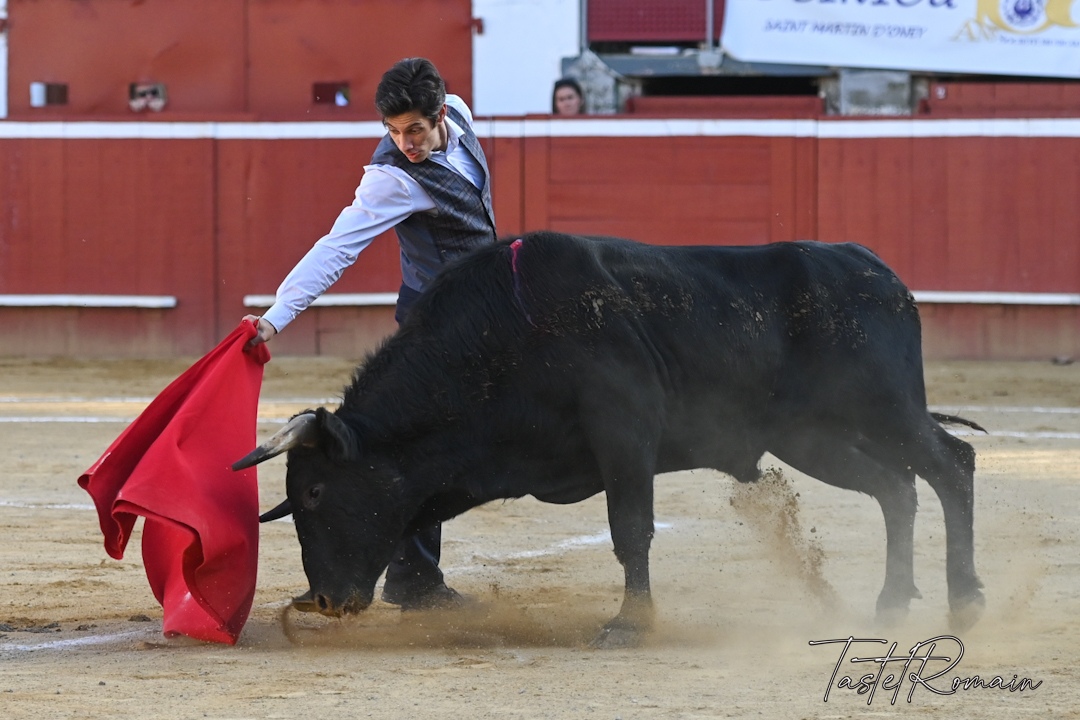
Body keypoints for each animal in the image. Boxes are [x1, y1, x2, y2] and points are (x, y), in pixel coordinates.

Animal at [236, 232, 989, 647]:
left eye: (315, 490)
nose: (324, 600)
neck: (500, 338)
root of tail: (879, 273)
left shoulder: (625, 434)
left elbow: (630, 530)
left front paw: (630, 625)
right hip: (814, 438)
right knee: (894, 486)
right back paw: (892, 603)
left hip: (885, 409)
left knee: (951, 464)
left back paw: (967, 600)